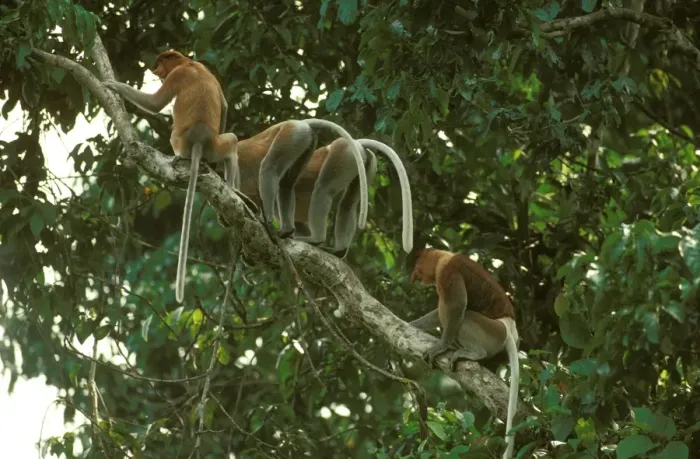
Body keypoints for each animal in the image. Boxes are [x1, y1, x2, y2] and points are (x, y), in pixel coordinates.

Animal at [103, 49, 238, 304]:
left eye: (160, 62)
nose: (155, 70)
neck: (190, 62)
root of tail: (199, 141)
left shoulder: (177, 75)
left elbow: (154, 104)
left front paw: (113, 85)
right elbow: (225, 104)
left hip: (178, 139)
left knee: (174, 132)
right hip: (217, 144)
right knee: (233, 141)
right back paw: (232, 188)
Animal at [408, 248, 519, 459]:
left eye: (418, 262)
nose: (413, 275)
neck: (443, 258)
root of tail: (509, 329)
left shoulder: (449, 272)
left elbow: (457, 305)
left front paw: (441, 346)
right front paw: (412, 324)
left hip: (492, 331)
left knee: (464, 315)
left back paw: (474, 353)